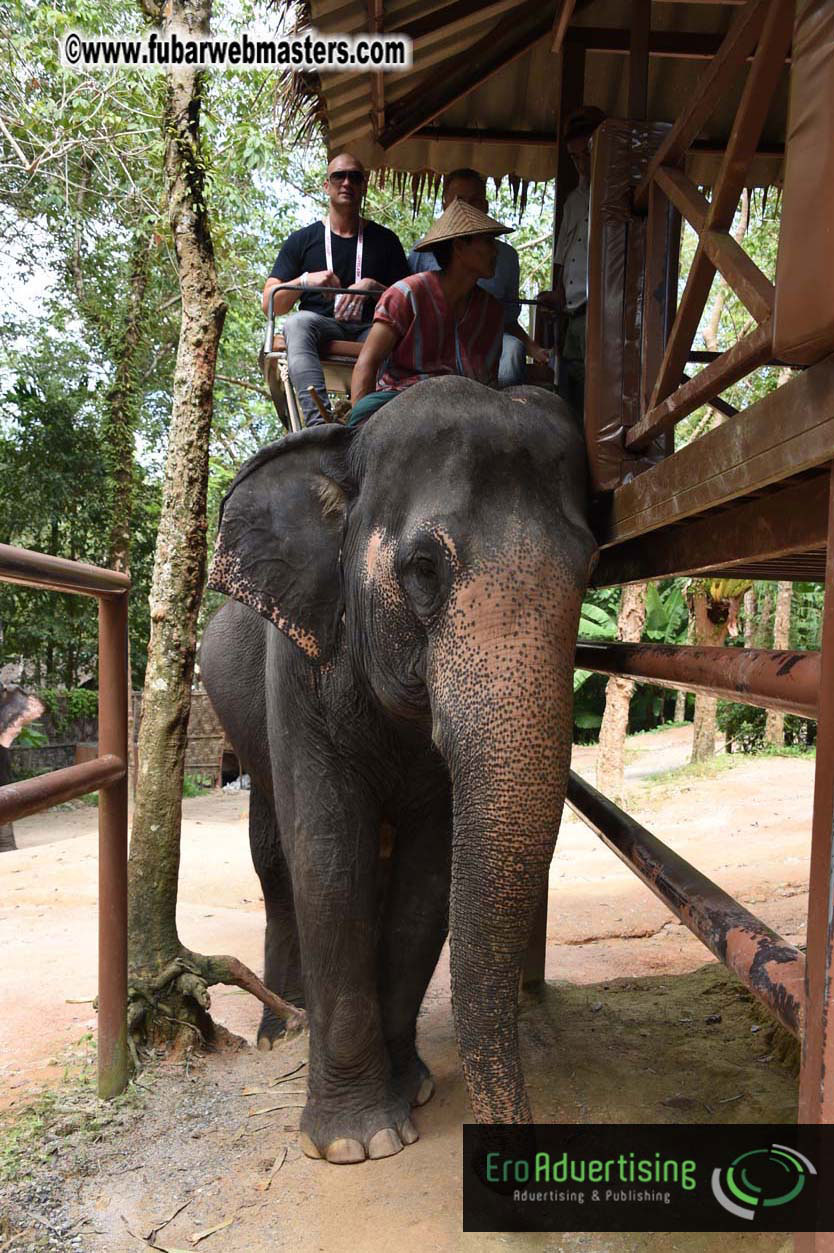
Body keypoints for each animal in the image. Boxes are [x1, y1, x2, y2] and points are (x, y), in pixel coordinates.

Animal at [200, 376, 596, 1164]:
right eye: (423, 570)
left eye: (591, 569)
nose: (522, 1155)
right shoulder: (298, 667)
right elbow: (329, 858)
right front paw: (359, 1141)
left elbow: (428, 874)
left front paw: (409, 1089)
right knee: (275, 857)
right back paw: (283, 1030)